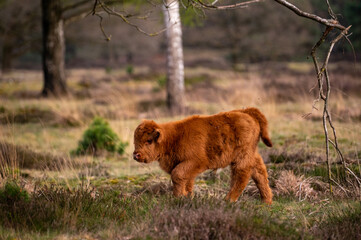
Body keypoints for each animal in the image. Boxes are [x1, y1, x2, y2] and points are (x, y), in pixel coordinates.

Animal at [134, 108, 272, 203]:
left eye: (149, 141)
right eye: (135, 140)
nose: (136, 155)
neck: (173, 137)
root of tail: (246, 111)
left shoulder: (195, 162)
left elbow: (177, 175)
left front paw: (178, 198)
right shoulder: (188, 168)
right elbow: (187, 181)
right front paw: (187, 197)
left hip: (241, 157)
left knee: (241, 175)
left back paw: (228, 200)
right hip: (251, 154)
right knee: (259, 171)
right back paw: (266, 201)